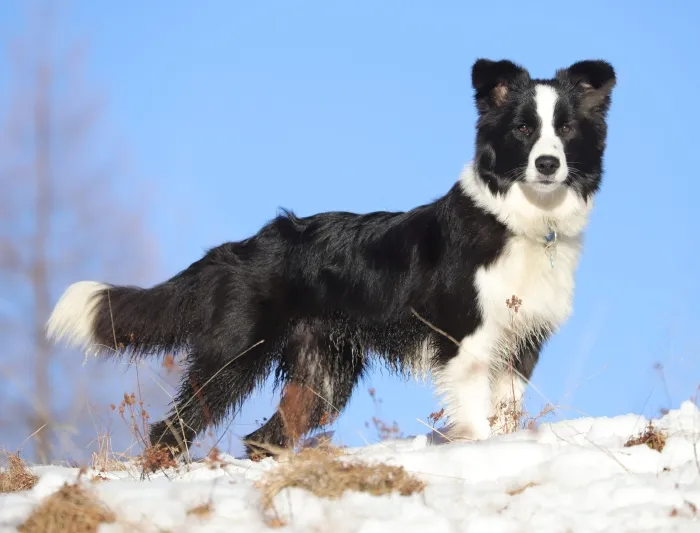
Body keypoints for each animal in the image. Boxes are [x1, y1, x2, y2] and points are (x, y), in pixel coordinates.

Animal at [46, 58, 616, 458]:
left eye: (566, 130)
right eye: (522, 129)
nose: (548, 164)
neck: (520, 221)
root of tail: (240, 247)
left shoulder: (522, 346)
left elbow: (507, 413)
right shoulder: (465, 344)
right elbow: (476, 423)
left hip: (323, 374)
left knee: (264, 437)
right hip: (234, 354)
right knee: (173, 425)